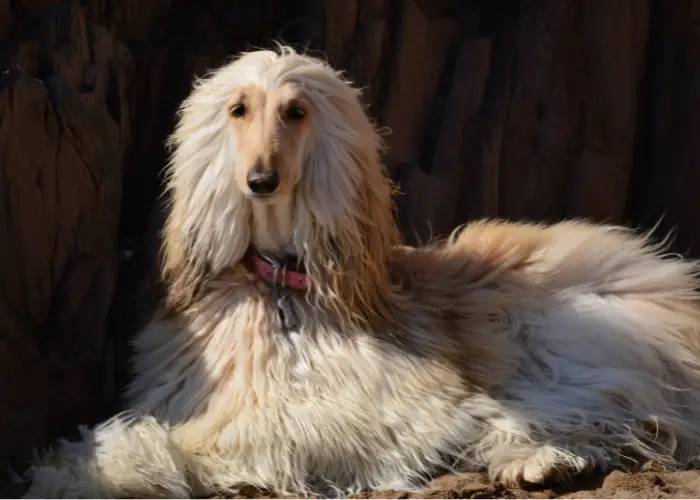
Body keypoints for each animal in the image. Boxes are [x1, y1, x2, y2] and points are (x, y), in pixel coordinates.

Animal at [19, 45, 700, 498]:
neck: (284, 289)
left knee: (606, 407)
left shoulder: (401, 405)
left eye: (295, 112)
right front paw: (81, 466)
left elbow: (238, 436)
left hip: (555, 329)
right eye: (238, 109)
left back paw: (539, 458)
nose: (259, 181)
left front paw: (114, 465)